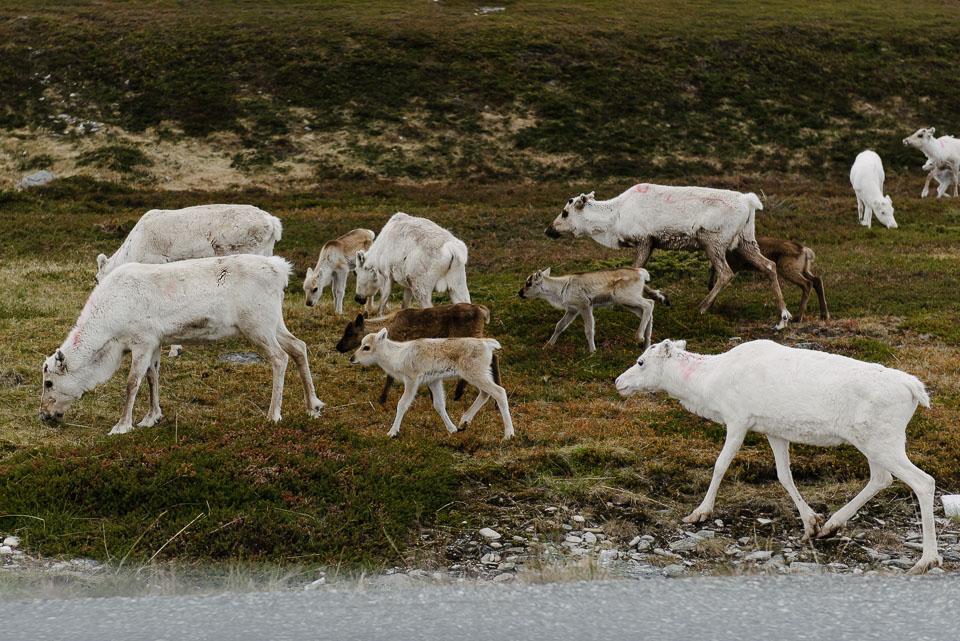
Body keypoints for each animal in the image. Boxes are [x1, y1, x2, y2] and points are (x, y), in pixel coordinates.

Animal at [40, 255, 326, 436]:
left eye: (49, 383)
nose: (43, 415)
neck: (109, 327)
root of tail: (281, 270)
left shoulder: (141, 340)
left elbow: (132, 382)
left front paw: (122, 426)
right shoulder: (156, 342)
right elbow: (153, 377)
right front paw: (151, 418)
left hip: (257, 325)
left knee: (280, 358)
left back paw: (273, 414)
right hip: (273, 322)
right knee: (299, 346)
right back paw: (313, 405)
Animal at [334, 302, 498, 402]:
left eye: (350, 332)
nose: (338, 347)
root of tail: (482, 310)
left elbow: (390, 376)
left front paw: (382, 399)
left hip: (470, 338)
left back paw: (459, 393)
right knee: (494, 356)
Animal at [350, 328, 512, 438]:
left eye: (366, 347)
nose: (352, 358)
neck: (395, 356)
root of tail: (488, 344)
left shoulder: (412, 379)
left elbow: (402, 404)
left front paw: (392, 432)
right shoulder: (434, 380)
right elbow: (439, 405)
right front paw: (452, 429)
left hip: (474, 373)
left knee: (499, 391)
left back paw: (508, 434)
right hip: (479, 373)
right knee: (485, 393)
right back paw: (463, 422)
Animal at [516, 266, 660, 352]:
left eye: (528, 283)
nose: (520, 293)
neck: (560, 291)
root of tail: (642, 273)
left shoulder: (585, 305)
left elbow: (589, 330)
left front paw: (592, 351)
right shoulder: (572, 309)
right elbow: (560, 326)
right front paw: (547, 346)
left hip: (626, 296)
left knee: (649, 303)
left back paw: (639, 338)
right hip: (627, 302)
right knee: (646, 310)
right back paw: (647, 344)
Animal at [616, 338, 936, 572]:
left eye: (641, 361)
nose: (618, 382)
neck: (707, 387)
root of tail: (915, 390)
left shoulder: (738, 419)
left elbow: (720, 465)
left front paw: (699, 513)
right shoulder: (774, 430)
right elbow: (784, 475)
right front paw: (811, 523)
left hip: (881, 440)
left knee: (923, 481)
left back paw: (926, 560)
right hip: (872, 441)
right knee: (881, 478)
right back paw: (831, 525)